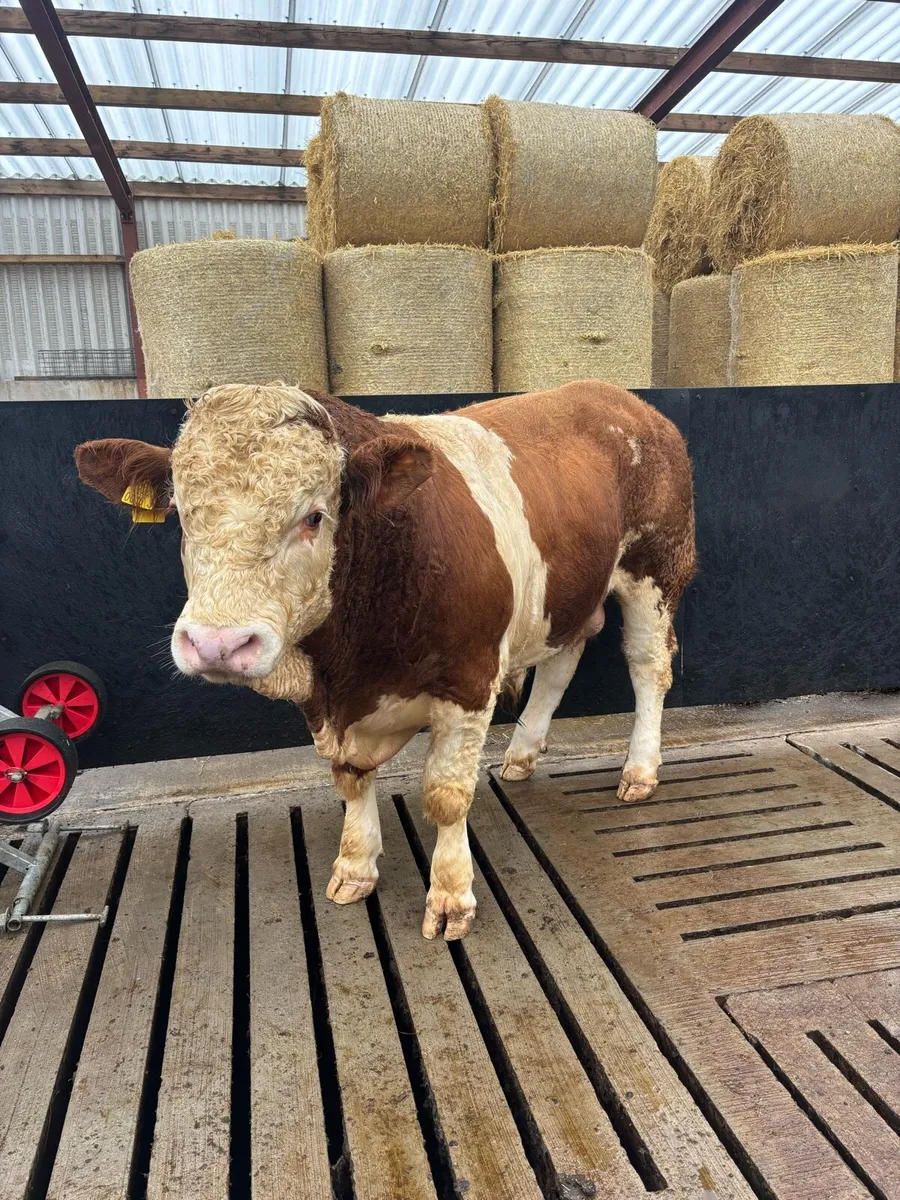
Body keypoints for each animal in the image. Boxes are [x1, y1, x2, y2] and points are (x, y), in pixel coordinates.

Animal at [75, 380, 695, 941]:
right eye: (181, 515)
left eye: (315, 516)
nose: (217, 644)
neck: (348, 670)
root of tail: (619, 396)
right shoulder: (332, 706)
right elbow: (349, 779)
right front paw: (354, 865)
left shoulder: (469, 680)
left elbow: (445, 796)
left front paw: (450, 897)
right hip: (565, 595)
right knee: (562, 660)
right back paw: (522, 753)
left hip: (655, 568)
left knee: (648, 667)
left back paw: (640, 770)